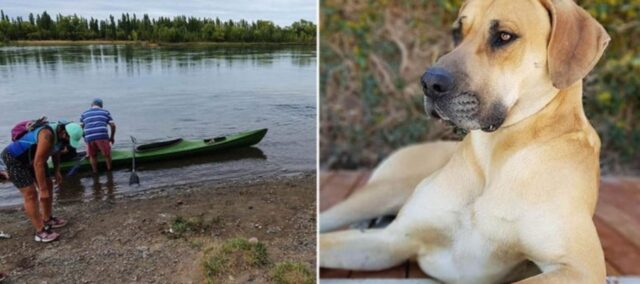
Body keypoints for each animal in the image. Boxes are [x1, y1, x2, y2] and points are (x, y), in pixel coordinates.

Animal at [320, 0, 608, 282]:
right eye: (457, 33)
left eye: (505, 36)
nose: (429, 83)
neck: (495, 154)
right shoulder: (391, 239)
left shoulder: (578, 268)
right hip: (380, 193)